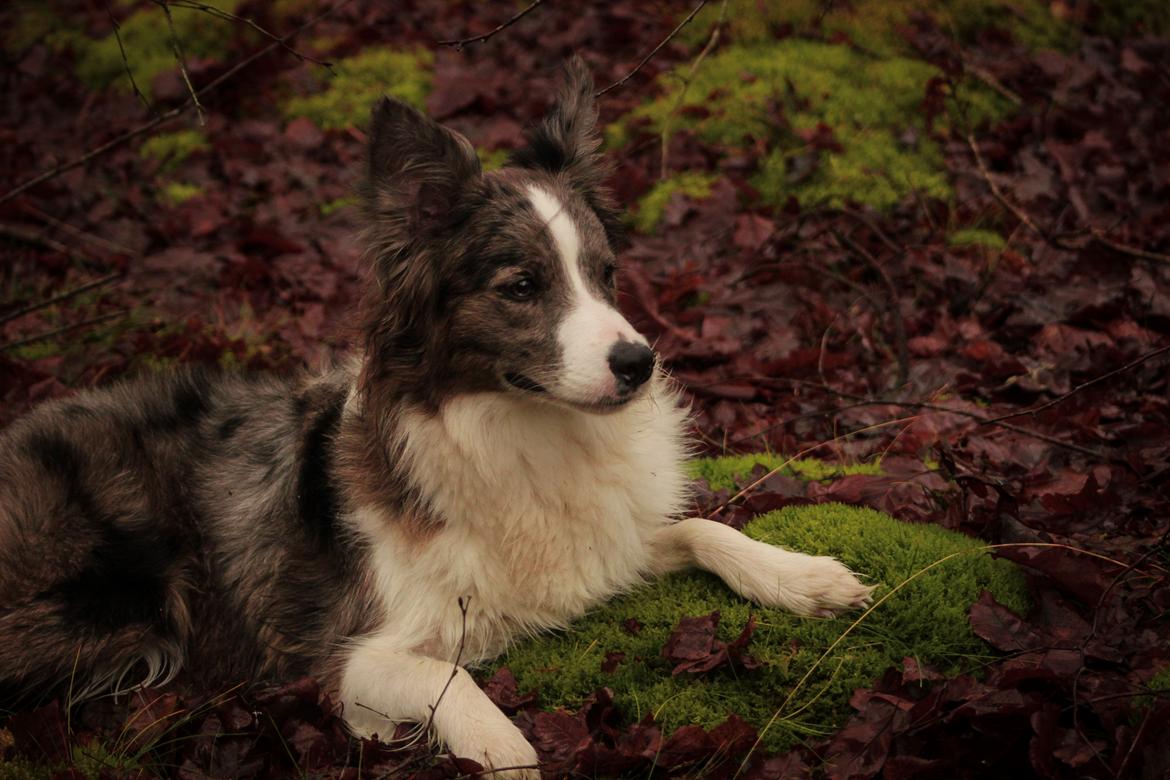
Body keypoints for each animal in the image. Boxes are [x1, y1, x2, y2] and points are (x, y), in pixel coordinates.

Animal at [0, 59, 870, 776]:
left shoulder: (599, 550)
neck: (522, 430)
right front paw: (503, 749)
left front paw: (803, 575)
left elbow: (700, 527)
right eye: (521, 286)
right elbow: (443, 674)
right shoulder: (340, 653)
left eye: (605, 274)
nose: (638, 364)